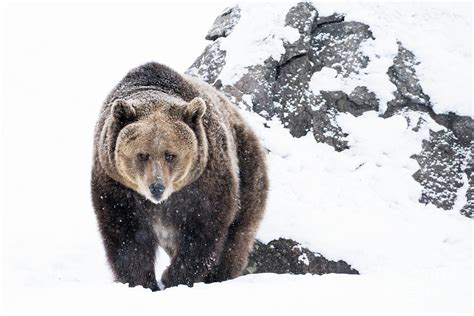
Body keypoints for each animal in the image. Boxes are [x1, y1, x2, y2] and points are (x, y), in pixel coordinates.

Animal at [90, 61, 268, 292]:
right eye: (142, 155)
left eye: (170, 155)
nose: (157, 187)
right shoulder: (117, 186)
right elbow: (126, 235)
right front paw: (142, 282)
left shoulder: (203, 183)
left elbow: (202, 232)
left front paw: (172, 277)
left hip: (247, 170)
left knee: (237, 237)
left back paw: (221, 275)